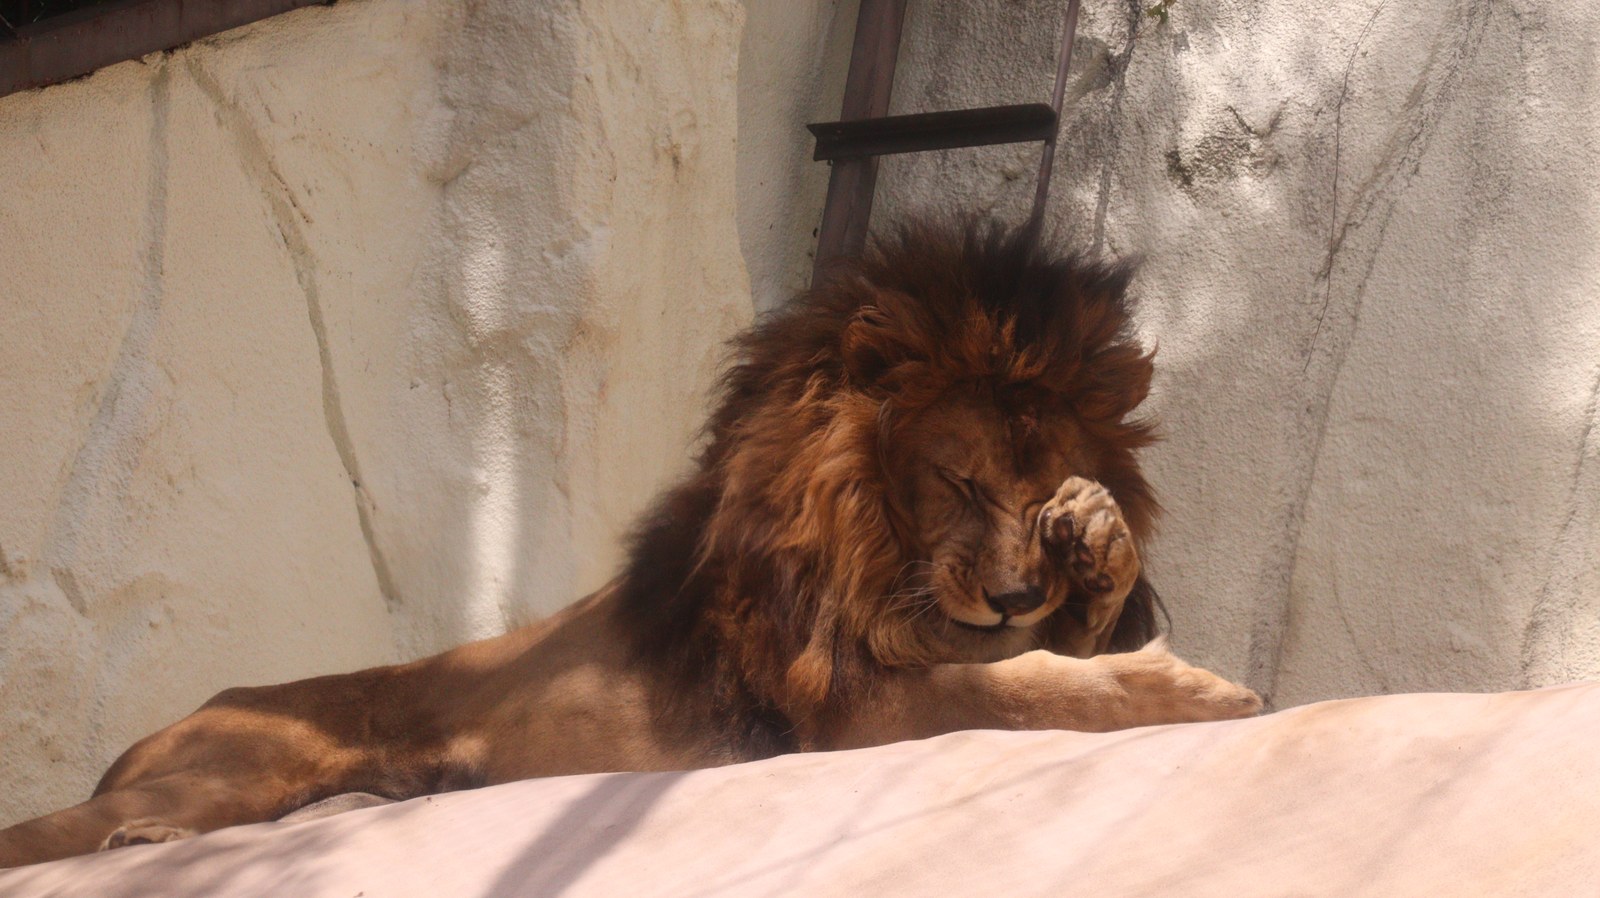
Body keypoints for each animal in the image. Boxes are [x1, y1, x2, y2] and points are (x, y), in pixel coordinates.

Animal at [0, 218, 1260, 868]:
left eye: (1036, 485)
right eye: (954, 478)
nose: (1008, 594)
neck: (870, 560)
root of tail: (154, 737)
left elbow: (1060, 641)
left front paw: (1096, 545)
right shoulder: (851, 708)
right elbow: (1023, 688)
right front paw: (1192, 689)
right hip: (243, 761)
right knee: (43, 832)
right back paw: (132, 837)